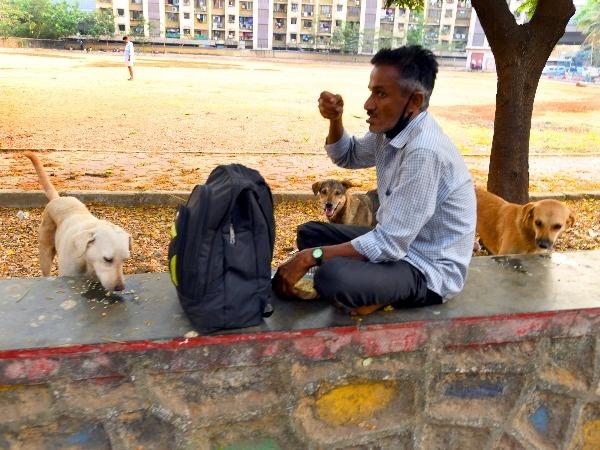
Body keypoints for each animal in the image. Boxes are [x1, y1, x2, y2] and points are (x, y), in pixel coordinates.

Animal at [24, 152, 131, 292]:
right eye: (107, 259)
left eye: (125, 260)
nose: (120, 287)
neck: (86, 260)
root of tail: (57, 198)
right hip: (45, 255)